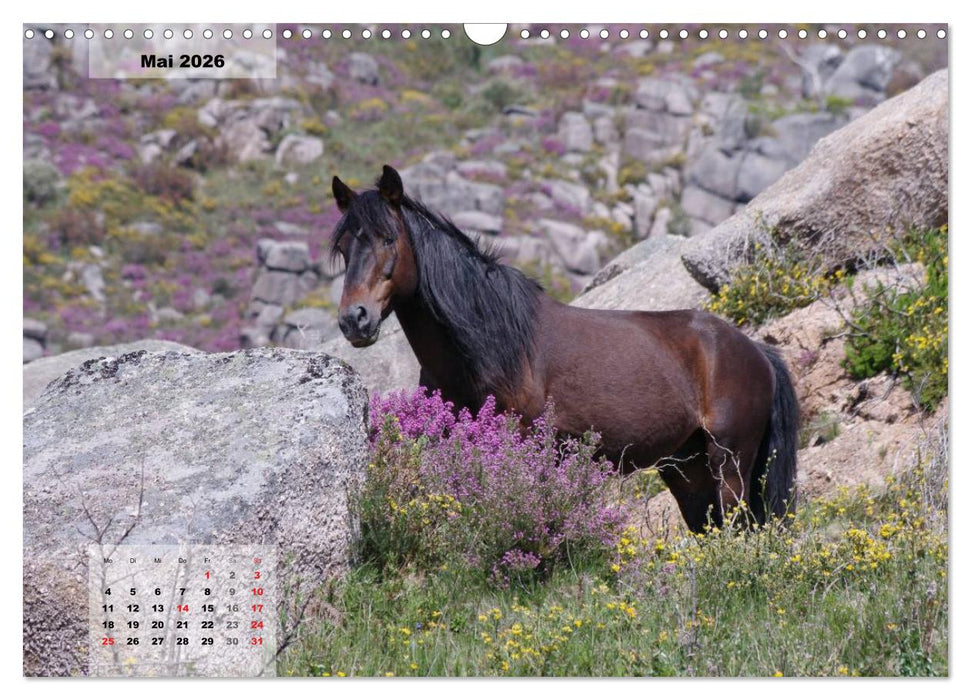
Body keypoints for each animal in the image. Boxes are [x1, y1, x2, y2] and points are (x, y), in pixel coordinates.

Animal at [329, 165, 799, 532]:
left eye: (389, 239)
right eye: (344, 247)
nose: (354, 319)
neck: (491, 340)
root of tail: (755, 351)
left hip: (730, 464)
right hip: (688, 469)